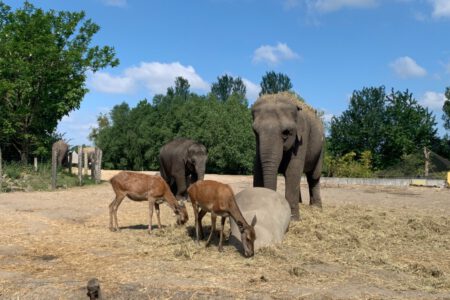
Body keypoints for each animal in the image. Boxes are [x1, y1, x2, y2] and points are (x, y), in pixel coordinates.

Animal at [253, 91, 324, 220]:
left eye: (286, 133)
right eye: (255, 132)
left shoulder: (302, 138)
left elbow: (293, 169)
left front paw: (293, 219)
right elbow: (258, 168)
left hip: (321, 148)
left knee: (314, 176)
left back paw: (317, 208)